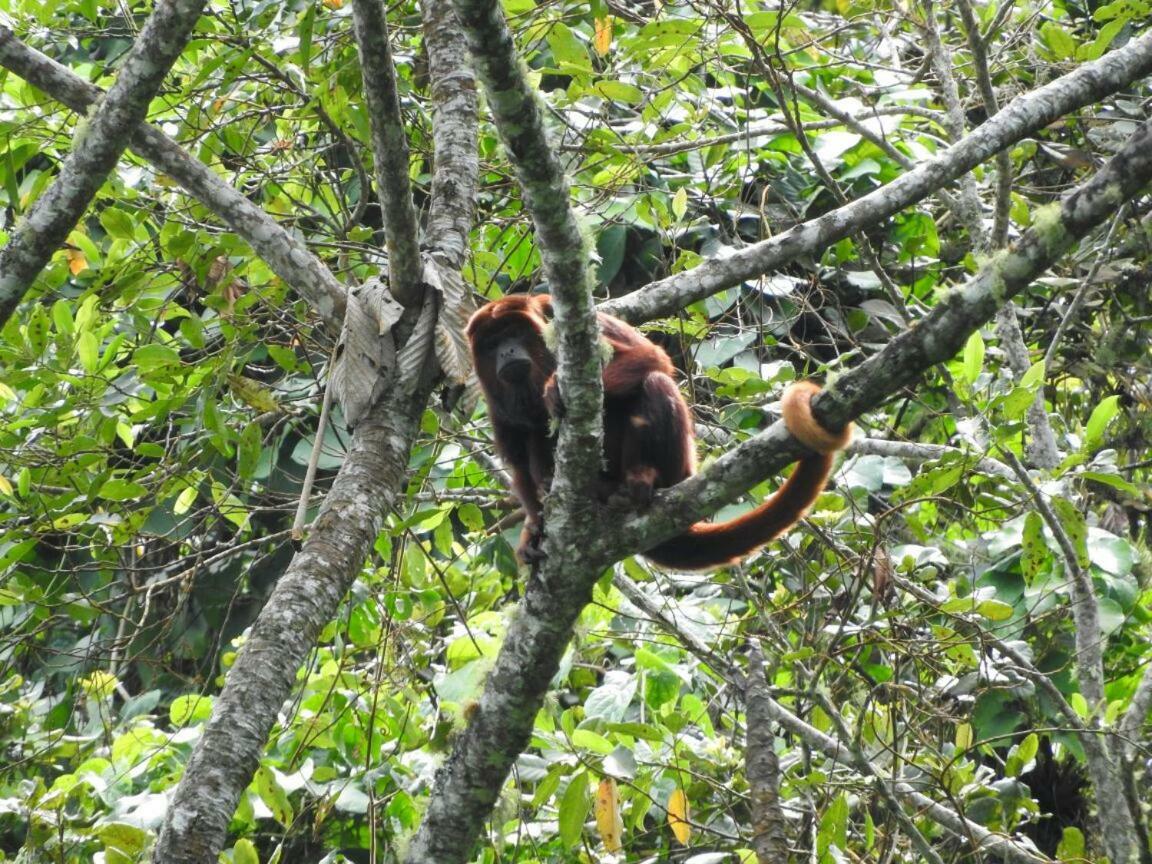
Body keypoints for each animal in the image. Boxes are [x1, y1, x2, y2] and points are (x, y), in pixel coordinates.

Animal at [463, 294, 852, 571]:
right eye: (490, 345)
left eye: (514, 335)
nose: (506, 351)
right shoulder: (494, 401)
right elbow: (516, 458)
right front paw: (534, 530)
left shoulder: (561, 316)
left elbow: (649, 356)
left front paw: (554, 390)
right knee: (532, 436)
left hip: (677, 469)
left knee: (655, 382)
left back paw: (639, 479)